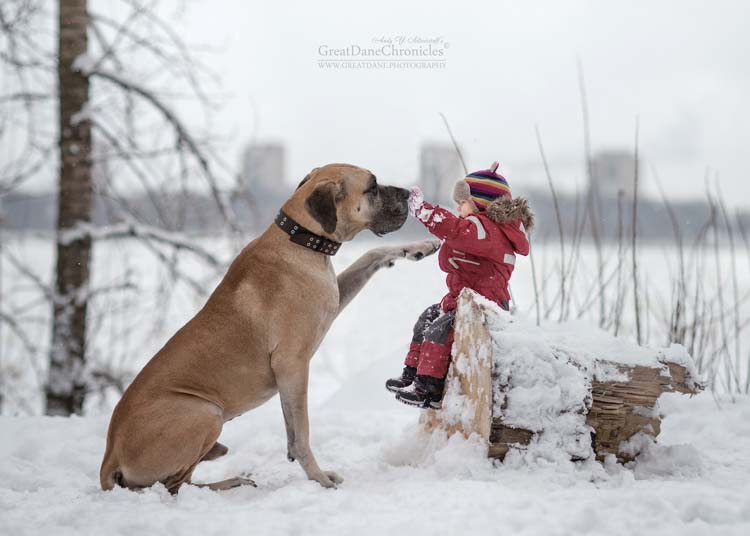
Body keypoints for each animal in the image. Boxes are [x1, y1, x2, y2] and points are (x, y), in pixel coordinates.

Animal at [100, 162, 440, 490]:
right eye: (372, 187)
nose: (407, 193)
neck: (302, 240)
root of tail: (109, 455)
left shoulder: (332, 300)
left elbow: (370, 255)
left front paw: (420, 246)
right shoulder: (292, 364)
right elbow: (301, 432)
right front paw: (318, 478)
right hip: (204, 412)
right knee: (174, 485)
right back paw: (231, 482)